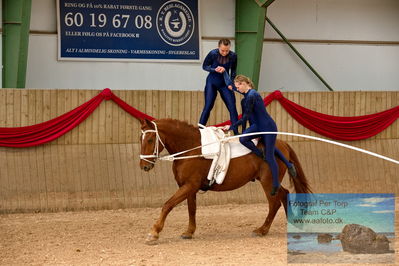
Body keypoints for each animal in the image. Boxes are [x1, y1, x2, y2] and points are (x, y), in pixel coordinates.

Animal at [141, 118, 312, 245]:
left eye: (150, 140)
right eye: (140, 139)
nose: (144, 166)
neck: (191, 148)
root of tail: (282, 144)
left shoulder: (190, 185)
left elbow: (168, 205)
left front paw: (153, 233)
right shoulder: (188, 186)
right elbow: (192, 208)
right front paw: (189, 232)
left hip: (268, 181)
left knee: (274, 202)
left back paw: (262, 230)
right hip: (271, 182)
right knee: (284, 194)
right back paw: (292, 224)